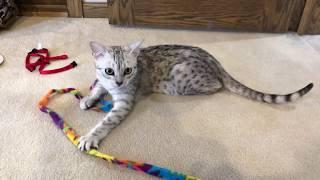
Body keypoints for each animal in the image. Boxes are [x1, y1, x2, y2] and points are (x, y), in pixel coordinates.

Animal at [77, 41, 312, 152]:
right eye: (109, 70)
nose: (119, 82)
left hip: (180, 79)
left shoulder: (125, 102)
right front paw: (89, 98)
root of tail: (215, 62)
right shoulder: (103, 80)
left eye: (128, 71)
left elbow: (106, 121)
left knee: (217, 85)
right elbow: (98, 86)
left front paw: (90, 137)